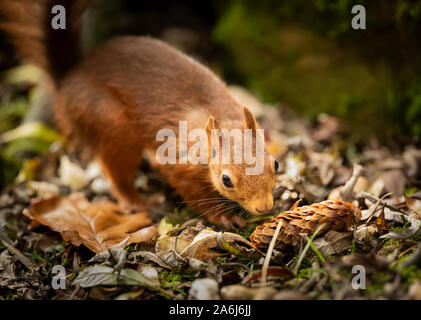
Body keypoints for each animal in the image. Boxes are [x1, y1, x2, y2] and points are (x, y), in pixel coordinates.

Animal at [2, 0, 278, 225]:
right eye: (226, 180)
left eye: (275, 164)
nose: (264, 207)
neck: (221, 117)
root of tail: (67, 81)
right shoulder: (178, 160)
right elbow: (194, 193)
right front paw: (223, 217)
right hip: (109, 119)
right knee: (115, 173)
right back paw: (133, 201)